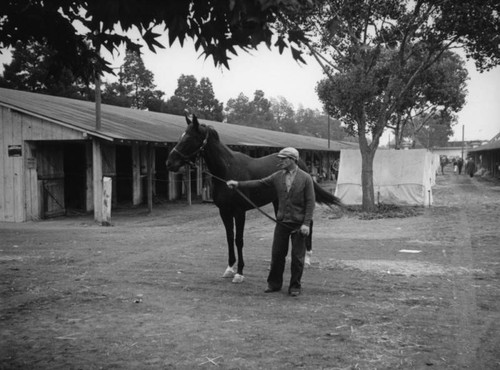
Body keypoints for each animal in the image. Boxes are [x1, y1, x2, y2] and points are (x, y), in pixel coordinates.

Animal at [166, 115, 342, 284]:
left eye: (189, 138)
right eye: (181, 136)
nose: (169, 163)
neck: (227, 170)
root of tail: (301, 163)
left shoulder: (239, 212)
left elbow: (238, 240)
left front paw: (239, 273)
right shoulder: (224, 212)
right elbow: (229, 238)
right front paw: (229, 268)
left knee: (308, 223)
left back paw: (307, 259)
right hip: (278, 201)